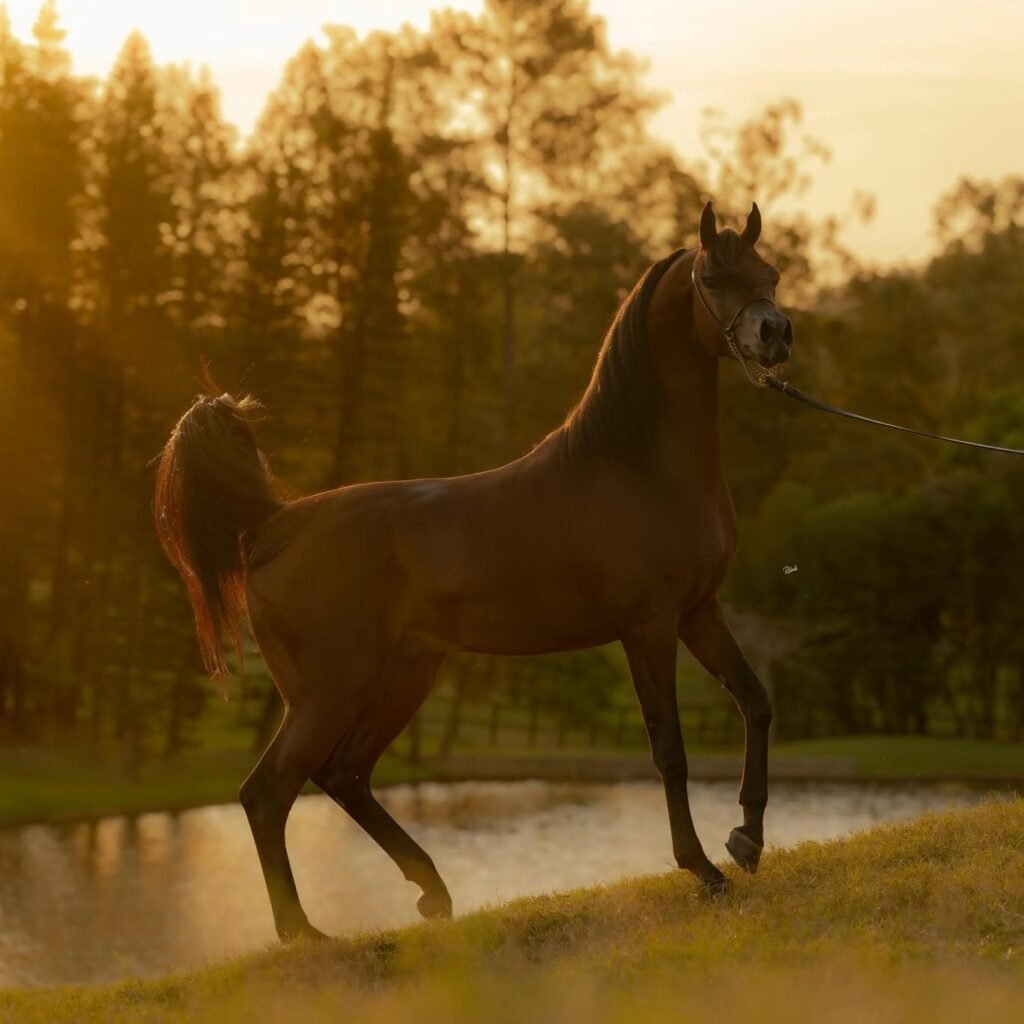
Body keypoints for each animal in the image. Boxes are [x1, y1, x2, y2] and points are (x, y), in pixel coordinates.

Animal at [154, 201, 793, 941]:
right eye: (714, 278)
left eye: (771, 273)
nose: (776, 333)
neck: (638, 466)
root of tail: (274, 525)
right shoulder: (649, 626)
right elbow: (670, 749)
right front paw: (703, 868)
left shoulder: (700, 611)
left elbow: (756, 700)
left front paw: (747, 838)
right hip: (328, 692)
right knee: (268, 792)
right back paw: (304, 932)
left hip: (404, 675)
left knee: (344, 775)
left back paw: (430, 890)